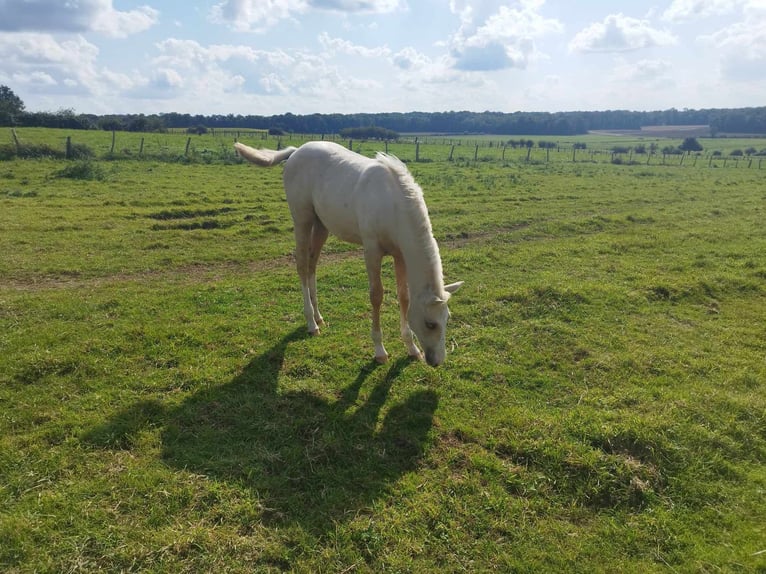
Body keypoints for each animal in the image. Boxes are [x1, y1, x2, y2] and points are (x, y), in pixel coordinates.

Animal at [234, 143, 462, 368]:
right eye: (430, 324)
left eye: (447, 318)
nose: (436, 361)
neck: (393, 205)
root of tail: (296, 151)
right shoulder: (372, 251)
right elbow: (376, 295)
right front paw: (380, 351)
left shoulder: (400, 256)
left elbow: (404, 297)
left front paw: (412, 348)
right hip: (302, 220)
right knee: (302, 265)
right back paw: (311, 324)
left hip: (321, 225)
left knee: (312, 264)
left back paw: (319, 317)